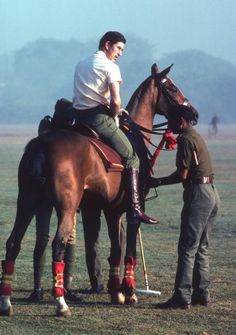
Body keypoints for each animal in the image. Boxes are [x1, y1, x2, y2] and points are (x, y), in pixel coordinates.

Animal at [0, 63, 197, 318]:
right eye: (171, 87)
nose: (194, 114)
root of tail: (41, 145)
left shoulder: (108, 210)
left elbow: (115, 249)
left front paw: (116, 292)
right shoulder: (132, 211)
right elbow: (129, 250)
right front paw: (129, 292)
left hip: (27, 201)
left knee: (13, 242)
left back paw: (6, 302)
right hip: (66, 206)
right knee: (57, 244)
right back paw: (61, 303)